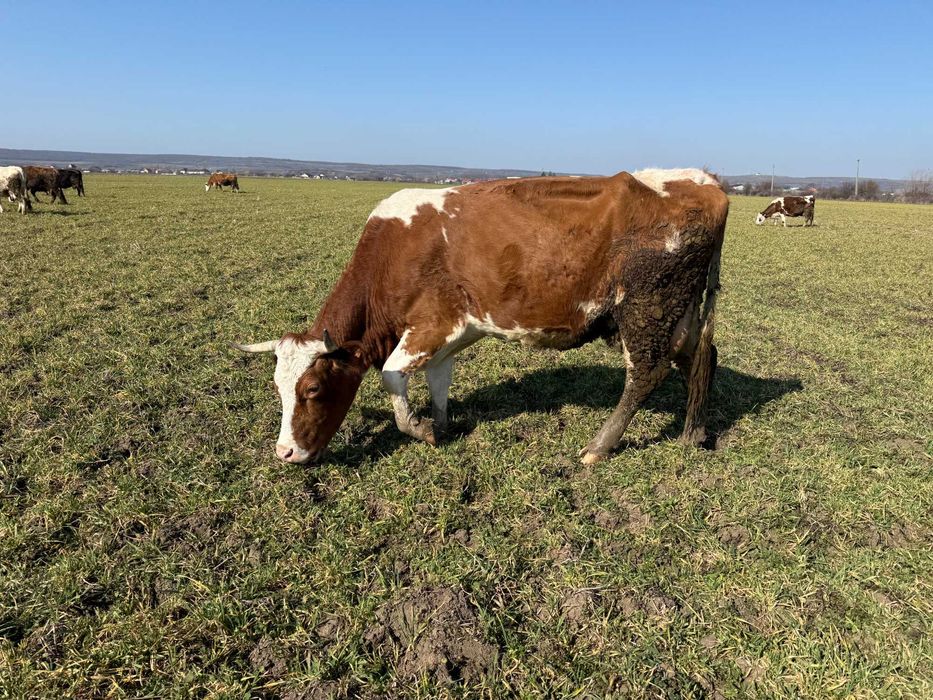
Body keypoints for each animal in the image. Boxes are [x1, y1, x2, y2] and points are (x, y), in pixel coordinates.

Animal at [231, 168, 729, 466]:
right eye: (277, 388)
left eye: (312, 389)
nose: (284, 452)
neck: (394, 250)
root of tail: (703, 181)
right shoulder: (450, 335)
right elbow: (438, 381)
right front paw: (442, 425)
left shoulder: (432, 324)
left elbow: (392, 376)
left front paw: (418, 429)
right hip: (679, 312)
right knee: (702, 356)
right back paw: (694, 432)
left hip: (646, 309)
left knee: (647, 372)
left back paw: (599, 447)